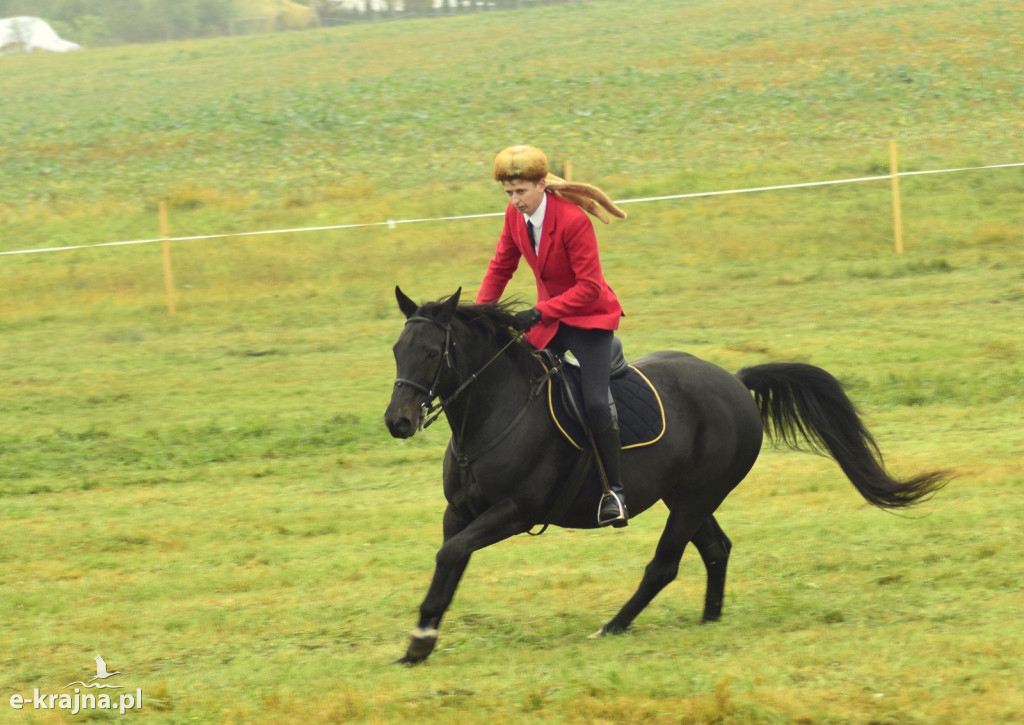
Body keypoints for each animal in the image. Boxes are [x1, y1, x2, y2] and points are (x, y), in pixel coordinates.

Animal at [385, 286, 950, 663]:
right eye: (396, 349)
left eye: (432, 352)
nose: (397, 422)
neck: (495, 413)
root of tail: (735, 382)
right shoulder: (460, 511)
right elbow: (450, 560)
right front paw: (420, 640)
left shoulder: (514, 512)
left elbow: (451, 555)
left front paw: (421, 639)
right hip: (687, 498)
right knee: (716, 549)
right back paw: (709, 620)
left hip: (695, 498)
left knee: (664, 566)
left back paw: (613, 627)